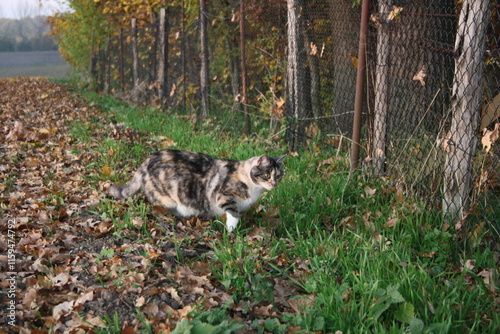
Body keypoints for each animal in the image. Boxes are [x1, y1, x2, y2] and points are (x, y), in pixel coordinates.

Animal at [108, 149, 286, 231]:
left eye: (278, 176)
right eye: (266, 175)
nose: (274, 184)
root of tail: (146, 161)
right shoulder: (222, 195)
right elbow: (233, 213)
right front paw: (231, 230)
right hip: (167, 194)